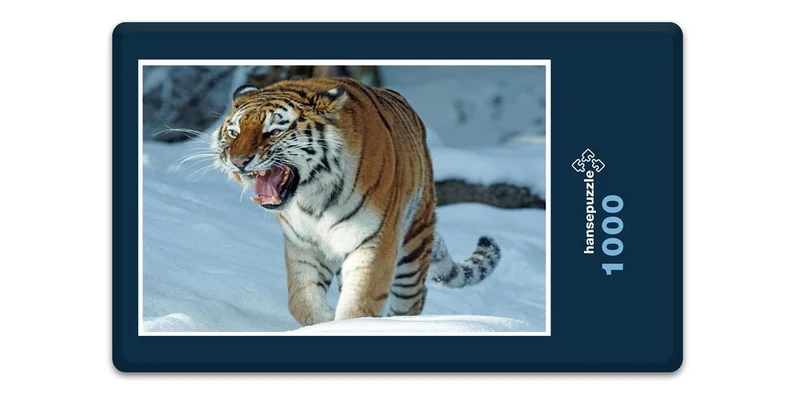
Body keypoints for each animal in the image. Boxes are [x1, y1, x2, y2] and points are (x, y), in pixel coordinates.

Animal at [210, 77, 501, 326]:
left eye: (273, 131)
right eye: (234, 132)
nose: (238, 161)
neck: (312, 197)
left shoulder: (374, 241)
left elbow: (360, 304)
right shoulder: (303, 246)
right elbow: (301, 301)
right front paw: (325, 321)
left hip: (413, 247)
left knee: (413, 298)